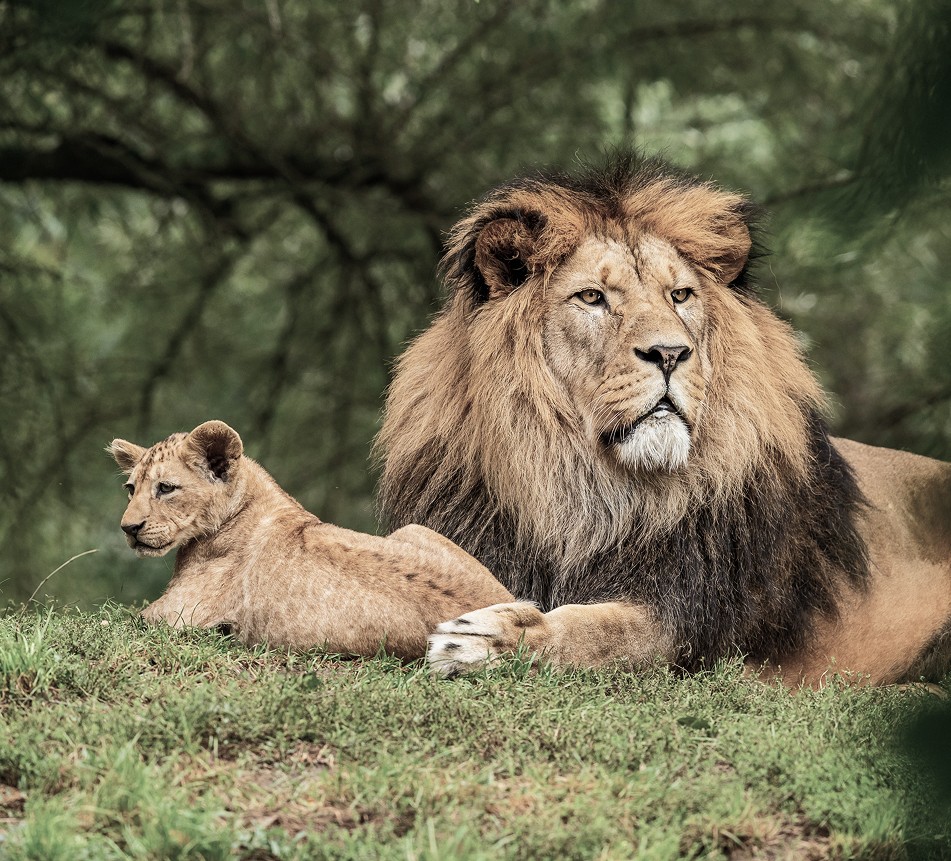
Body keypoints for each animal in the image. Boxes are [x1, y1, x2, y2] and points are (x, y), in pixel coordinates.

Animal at [109, 420, 513, 657]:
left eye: (166, 488)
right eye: (130, 489)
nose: (128, 528)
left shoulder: (174, 615)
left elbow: (117, 620)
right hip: (412, 528)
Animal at [375, 154, 951, 685]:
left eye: (680, 295)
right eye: (592, 297)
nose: (671, 353)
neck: (585, 491)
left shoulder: (690, 620)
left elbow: (600, 631)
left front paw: (490, 639)